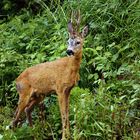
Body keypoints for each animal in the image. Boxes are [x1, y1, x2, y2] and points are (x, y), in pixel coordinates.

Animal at [11, 12, 88, 140]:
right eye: (68, 41)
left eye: (78, 42)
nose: (69, 51)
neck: (70, 69)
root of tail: (16, 80)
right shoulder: (59, 89)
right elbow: (63, 114)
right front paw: (64, 137)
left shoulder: (68, 90)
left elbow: (67, 112)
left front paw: (69, 135)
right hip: (24, 93)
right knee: (15, 116)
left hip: (38, 95)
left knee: (27, 110)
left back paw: (35, 133)